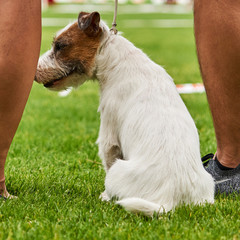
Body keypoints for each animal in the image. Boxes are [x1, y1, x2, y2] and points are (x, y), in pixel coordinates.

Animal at [35, 11, 214, 217]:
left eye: (60, 46)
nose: (34, 74)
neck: (110, 56)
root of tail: (170, 200)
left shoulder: (108, 135)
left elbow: (107, 159)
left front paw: (104, 195)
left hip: (118, 170)